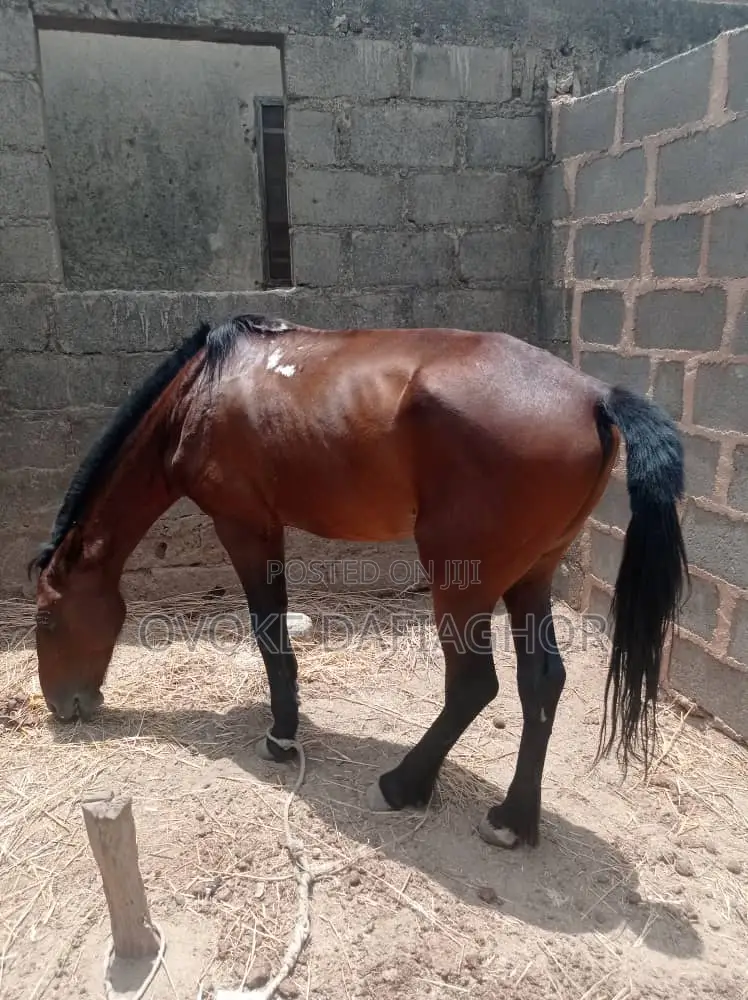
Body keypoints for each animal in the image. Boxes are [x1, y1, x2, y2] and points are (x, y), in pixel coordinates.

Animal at [29, 314, 688, 850]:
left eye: (48, 619)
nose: (65, 707)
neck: (203, 391)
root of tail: (595, 397)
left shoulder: (245, 526)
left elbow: (269, 634)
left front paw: (281, 738)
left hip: (462, 582)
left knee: (474, 685)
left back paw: (403, 785)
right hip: (531, 575)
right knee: (542, 682)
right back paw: (512, 820)